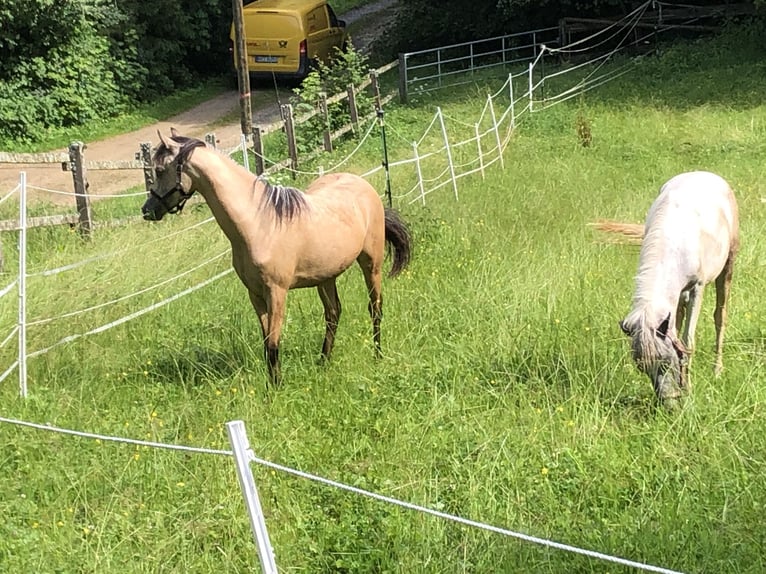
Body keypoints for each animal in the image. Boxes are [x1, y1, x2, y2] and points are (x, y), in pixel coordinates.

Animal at [140, 129, 412, 388]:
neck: (259, 224)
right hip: (326, 277)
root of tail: (362, 185)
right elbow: (265, 342)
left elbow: (273, 344)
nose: (147, 210)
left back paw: (377, 355)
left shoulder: (277, 292)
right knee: (333, 314)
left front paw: (276, 389)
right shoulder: (255, 294)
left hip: (371, 264)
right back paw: (323, 362)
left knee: (375, 308)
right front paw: (271, 384)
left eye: (161, 169)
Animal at [600, 172, 736, 404]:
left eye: (665, 361)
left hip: (728, 264)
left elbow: (688, 340)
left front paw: (688, 389)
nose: (669, 404)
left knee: (720, 316)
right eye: (643, 369)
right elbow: (677, 334)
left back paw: (717, 370)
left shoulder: (697, 288)